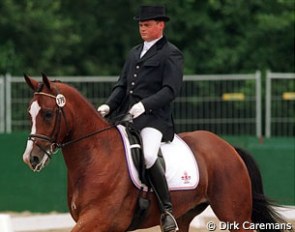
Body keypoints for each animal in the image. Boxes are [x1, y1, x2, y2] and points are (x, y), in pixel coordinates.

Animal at [22, 74, 292, 232]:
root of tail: (228, 147)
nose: (31, 158)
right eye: (29, 113)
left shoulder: (97, 219)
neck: (96, 155)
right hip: (185, 215)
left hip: (234, 213)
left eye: (48, 113)